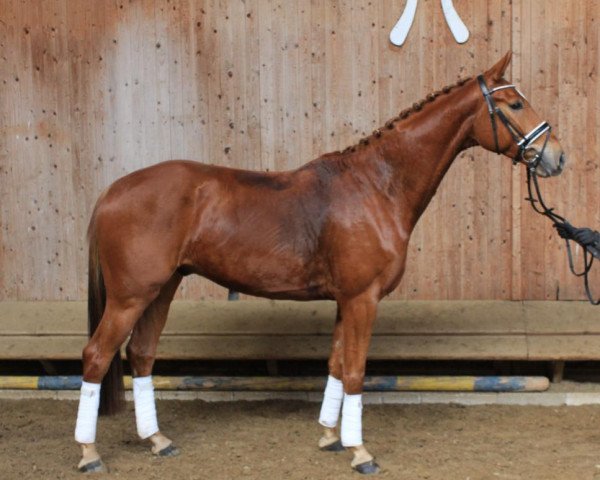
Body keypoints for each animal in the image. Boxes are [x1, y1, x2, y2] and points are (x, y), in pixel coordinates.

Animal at [72, 52, 564, 472]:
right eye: (515, 103)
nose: (556, 156)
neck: (376, 186)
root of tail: (113, 190)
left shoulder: (346, 300)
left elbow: (336, 365)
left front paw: (331, 437)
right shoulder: (363, 299)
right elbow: (356, 371)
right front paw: (360, 452)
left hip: (163, 288)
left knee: (141, 353)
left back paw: (157, 440)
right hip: (131, 297)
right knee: (97, 355)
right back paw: (89, 453)